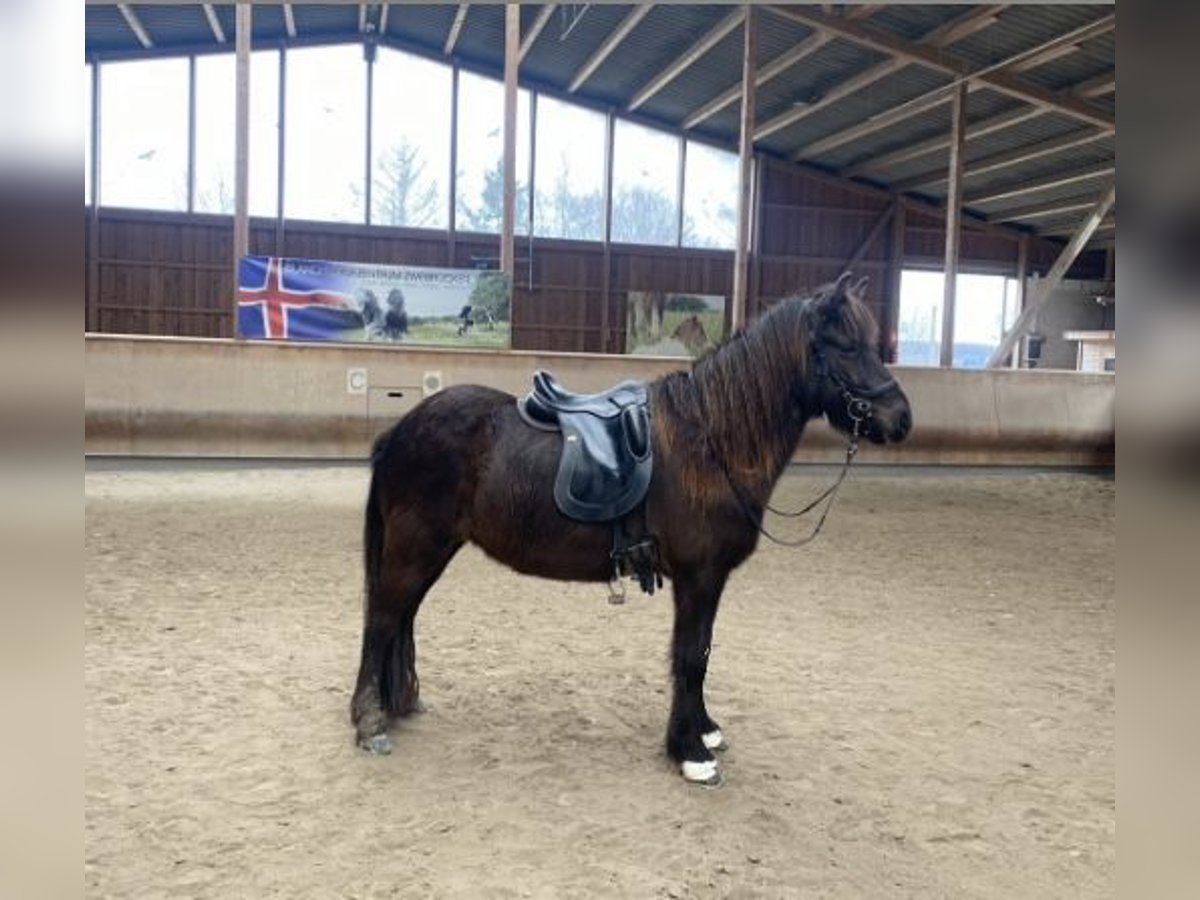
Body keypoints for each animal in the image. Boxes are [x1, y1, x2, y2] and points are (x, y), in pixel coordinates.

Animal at [350, 271, 912, 787]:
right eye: (847, 346)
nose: (901, 418)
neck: (709, 444)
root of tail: (401, 429)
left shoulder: (709, 581)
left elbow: (703, 652)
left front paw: (704, 730)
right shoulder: (698, 577)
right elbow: (690, 656)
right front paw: (690, 752)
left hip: (431, 551)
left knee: (400, 618)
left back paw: (398, 704)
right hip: (415, 548)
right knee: (382, 619)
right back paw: (369, 721)